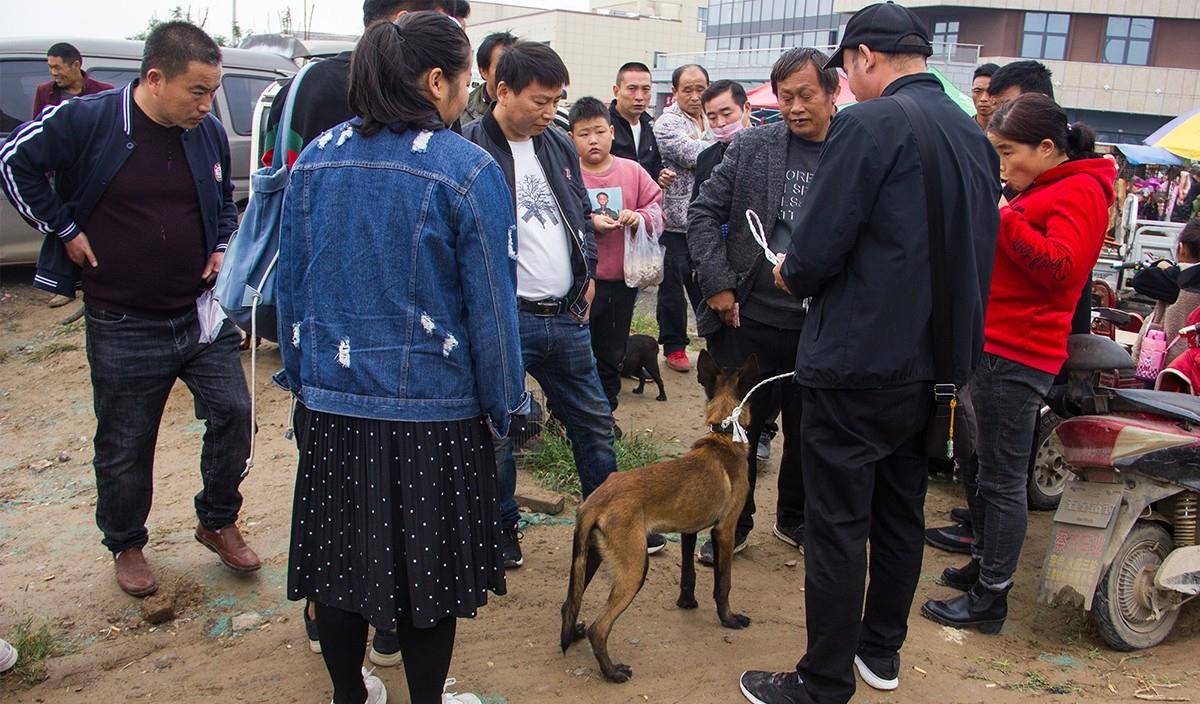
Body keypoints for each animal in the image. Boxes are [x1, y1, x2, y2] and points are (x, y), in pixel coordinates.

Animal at [559, 352, 758, 681]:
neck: (724, 436)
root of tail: (594, 501)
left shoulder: (690, 529)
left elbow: (688, 574)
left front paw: (687, 603)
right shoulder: (725, 530)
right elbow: (723, 584)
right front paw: (728, 619)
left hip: (589, 558)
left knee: (569, 604)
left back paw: (573, 633)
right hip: (635, 568)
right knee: (598, 628)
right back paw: (612, 672)